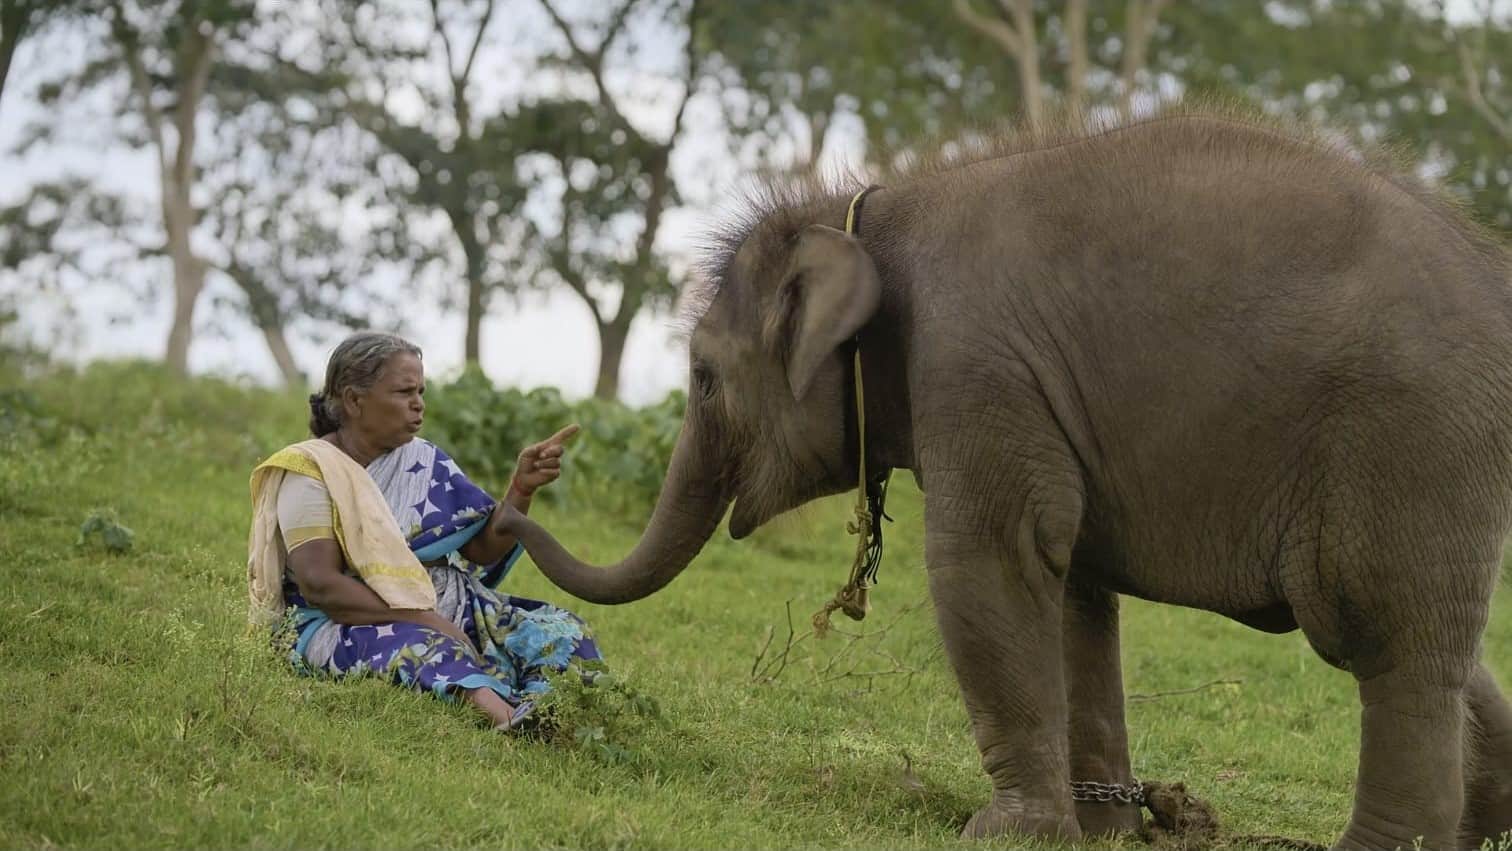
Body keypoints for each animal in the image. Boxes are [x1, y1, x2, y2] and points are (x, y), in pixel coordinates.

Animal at [500, 110, 1512, 850]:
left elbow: (989, 560)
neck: (873, 205)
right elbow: (1073, 592)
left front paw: (1004, 831)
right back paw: (1482, 823)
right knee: (1440, 639)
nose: (535, 469)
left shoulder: (973, 363)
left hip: (1410, 438)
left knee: (1381, 634)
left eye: (705, 376)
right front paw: (1101, 828)